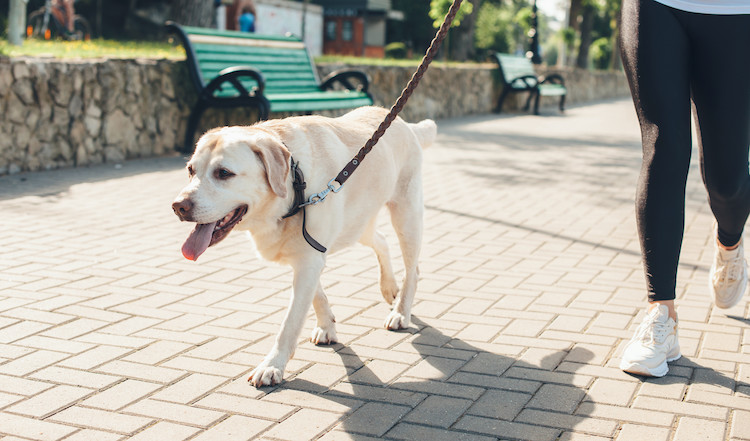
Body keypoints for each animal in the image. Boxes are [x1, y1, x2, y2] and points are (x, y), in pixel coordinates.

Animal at [173, 106, 438, 384]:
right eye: (190, 170)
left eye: (223, 173)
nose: (178, 206)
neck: (294, 187)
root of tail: (402, 121)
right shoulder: (309, 255)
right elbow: (317, 296)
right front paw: (326, 326)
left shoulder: (309, 260)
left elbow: (290, 321)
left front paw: (272, 365)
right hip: (357, 226)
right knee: (382, 241)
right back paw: (389, 287)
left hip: (406, 216)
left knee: (413, 270)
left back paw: (401, 311)